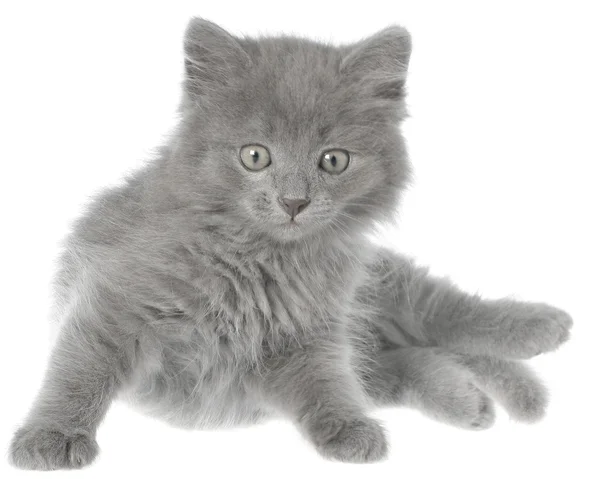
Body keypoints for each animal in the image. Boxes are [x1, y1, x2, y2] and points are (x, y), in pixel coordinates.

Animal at [9, 18, 572, 468]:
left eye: (334, 160)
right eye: (255, 156)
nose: (294, 201)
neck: (253, 260)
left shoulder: (309, 337)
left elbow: (324, 383)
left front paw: (347, 426)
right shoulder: (115, 305)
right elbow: (79, 372)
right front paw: (50, 436)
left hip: (386, 287)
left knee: (448, 314)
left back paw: (541, 328)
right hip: (378, 346)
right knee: (413, 356)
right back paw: (471, 402)